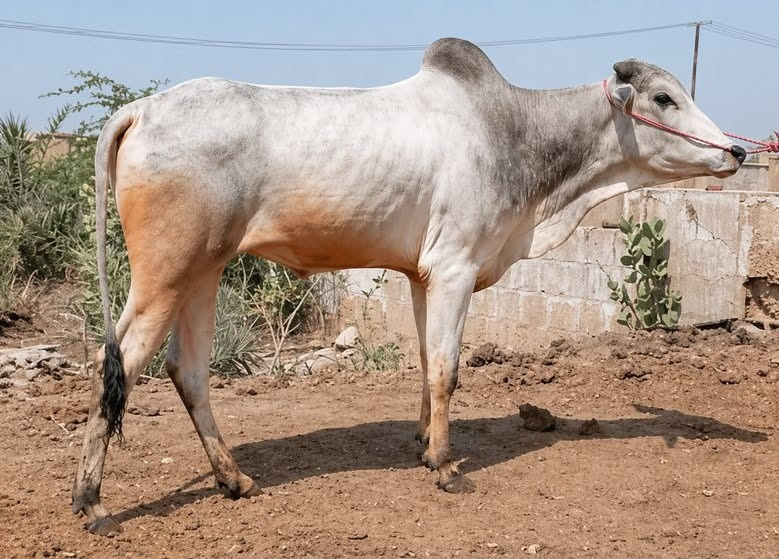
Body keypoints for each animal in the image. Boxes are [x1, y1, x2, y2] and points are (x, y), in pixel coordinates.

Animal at [71, 38, 745, 535]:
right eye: (664, 97)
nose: (737, 151)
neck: (517, 135)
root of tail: (143, 108)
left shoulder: (424, 275)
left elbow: (425, 360)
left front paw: (423, 443)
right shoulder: (455, 267)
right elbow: (446, 367)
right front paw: (445, 466)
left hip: (203, 272)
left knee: (186, 370)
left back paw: (233, 480)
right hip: (164, 276)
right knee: (121, 363)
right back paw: (93, 502)